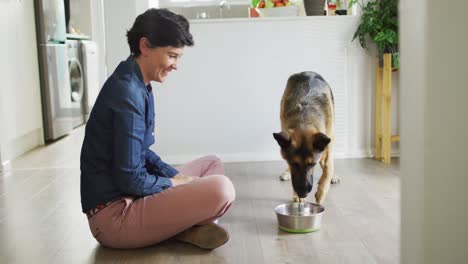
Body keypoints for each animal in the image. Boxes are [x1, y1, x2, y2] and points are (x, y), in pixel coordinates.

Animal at [272, 71, 338, 204]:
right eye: (294, 163)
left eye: (312, 164)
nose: (302, 193)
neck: (304, 120)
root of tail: (308, 72)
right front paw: (297, 195)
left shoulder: (327, 147)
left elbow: (328, 168)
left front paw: (321, 192)